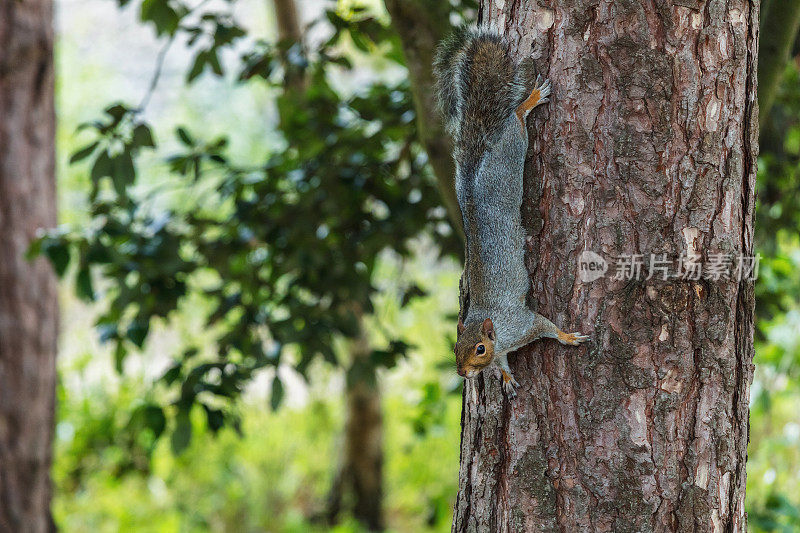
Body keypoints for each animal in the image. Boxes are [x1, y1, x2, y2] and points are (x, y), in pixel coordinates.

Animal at [434, 27, 592, 396]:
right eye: (455, 346)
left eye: (480, 348)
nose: (463, 373)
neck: (494, 329)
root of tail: (472, 190)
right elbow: (504, 363)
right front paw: (505, 376)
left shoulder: (523, 323)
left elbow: (546, 326)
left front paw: (568, 337)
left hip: (509, 158)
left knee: (516, 123)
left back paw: (530, 101)